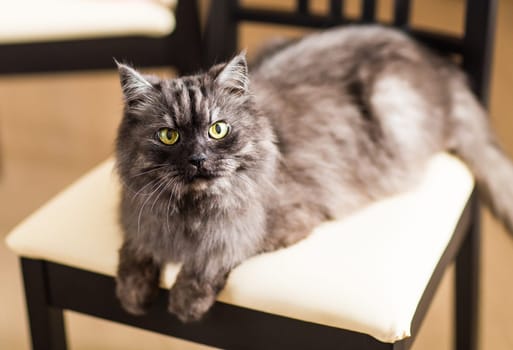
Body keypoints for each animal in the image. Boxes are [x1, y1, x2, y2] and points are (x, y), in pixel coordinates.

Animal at [115, 25, 512, 322]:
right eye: (169, 135)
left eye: (218, 129)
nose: (197, 159)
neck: (189, 213)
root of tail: (445, 69)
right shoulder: (139, 217)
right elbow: (134, 249)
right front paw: (132, 291)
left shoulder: (277, 225)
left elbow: (216, 254)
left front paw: (184, 299)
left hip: (393, 105)